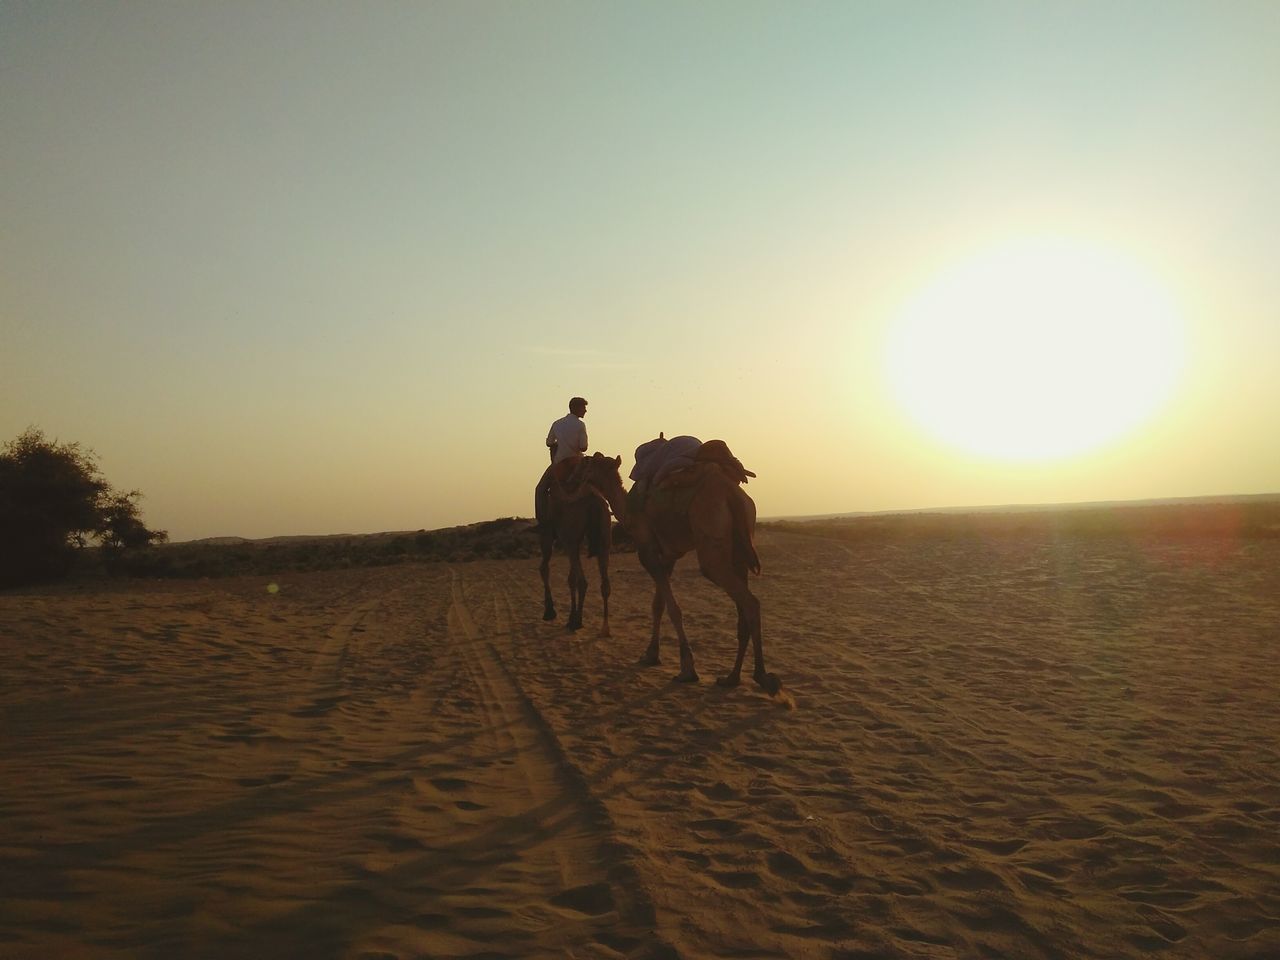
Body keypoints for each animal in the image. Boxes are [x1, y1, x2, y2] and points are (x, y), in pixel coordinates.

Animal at [537, 458, 611, 640]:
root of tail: (593, 500)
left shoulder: (550, 535)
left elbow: (545, 569)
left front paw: (550, 611)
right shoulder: (572, 544)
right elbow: (571, 578)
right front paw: (569, 616)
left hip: (567, 538)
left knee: (582, 581)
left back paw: (577, 621)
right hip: (604, 539)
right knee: (604, 584)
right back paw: (604, 628)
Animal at [583, 450, 778, 691]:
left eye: (591, 464)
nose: (582, 466)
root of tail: (730, 493)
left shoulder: (647, 553)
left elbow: (673, 608)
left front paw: (687, 669)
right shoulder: (669, 557)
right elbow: (657, 605)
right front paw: (651, 654)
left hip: (711, 542)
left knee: (749, 601)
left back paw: (762, 676)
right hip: (740, 546)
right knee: (743, 603)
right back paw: (732, 677)